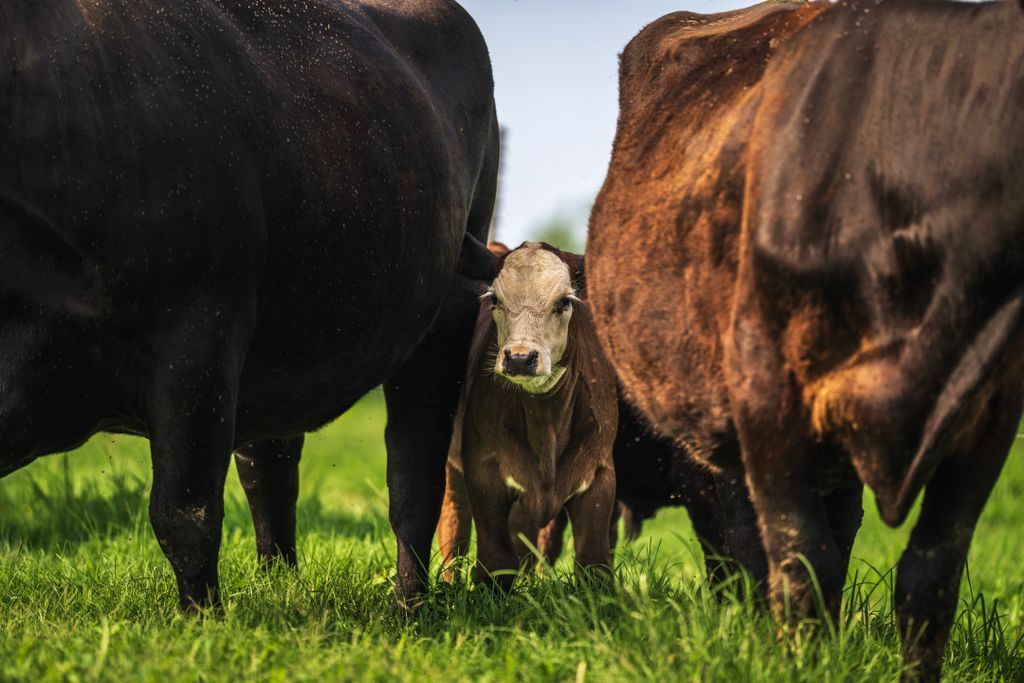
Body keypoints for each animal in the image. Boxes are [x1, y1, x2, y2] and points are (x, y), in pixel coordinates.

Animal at [0, 0, 498, 610]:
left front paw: (202, 621)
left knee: (414, 474)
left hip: (445, 310)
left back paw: (409, 604)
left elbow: (184, 512)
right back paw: (282, 584)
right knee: (271, 467)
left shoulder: (199, 335)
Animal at [437, 242, 619, 589]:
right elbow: (496, 557)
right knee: (454, 531)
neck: (547, 423)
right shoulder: (483, 466)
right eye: (495, 299)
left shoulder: (600, 472)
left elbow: (593, 561)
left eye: (564, 301)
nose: (520, 358)